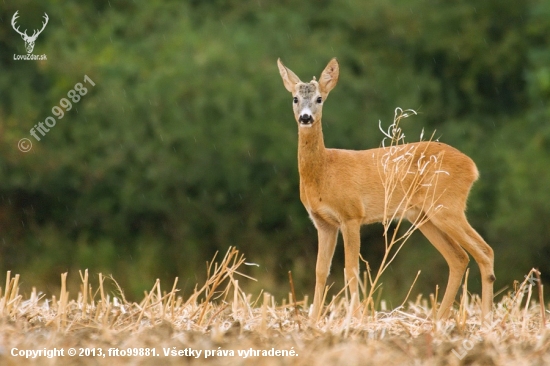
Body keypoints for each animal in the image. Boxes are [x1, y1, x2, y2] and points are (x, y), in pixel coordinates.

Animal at [278, 56, 498, 320]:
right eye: (295, 98)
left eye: (320, 98)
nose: (306, 118)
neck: (324, 172)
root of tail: (472, 167)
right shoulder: (323, 223)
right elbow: (321, 271)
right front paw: (313, 320)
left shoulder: (352, 215)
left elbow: (351, 269)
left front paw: (355, 317)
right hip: (422, 215)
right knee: (459, 257)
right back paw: (438, 319)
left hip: (447, 205)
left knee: (484, 250)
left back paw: (485, 319)